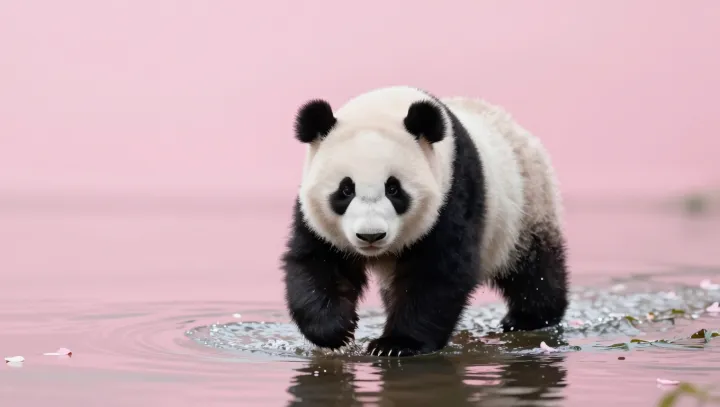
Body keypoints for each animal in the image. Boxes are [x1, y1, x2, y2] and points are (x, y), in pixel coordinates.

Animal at [280, 85, 569, 357]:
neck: (385, 105)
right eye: (345, 190)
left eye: (394, 189)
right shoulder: (314, 217)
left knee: (533, 267)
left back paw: (528, 317)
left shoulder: (452, 194)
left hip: (527, 204)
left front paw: (397, 344)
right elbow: (317, 263)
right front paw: (336, 332)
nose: (371, 235)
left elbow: (438, 273)